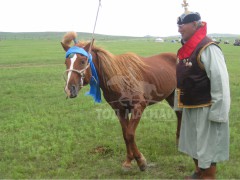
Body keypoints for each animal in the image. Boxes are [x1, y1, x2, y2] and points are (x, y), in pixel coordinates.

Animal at [61, 31, 181, 171]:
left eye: (82, 61)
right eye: (66, 62)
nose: (69, 89)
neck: (120, 80)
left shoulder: (138, 107)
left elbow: (130, 134)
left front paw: (140, 161)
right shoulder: (119, 110)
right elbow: (125, 134)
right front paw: (129, 160)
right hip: (171, 96)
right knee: (179, 114)